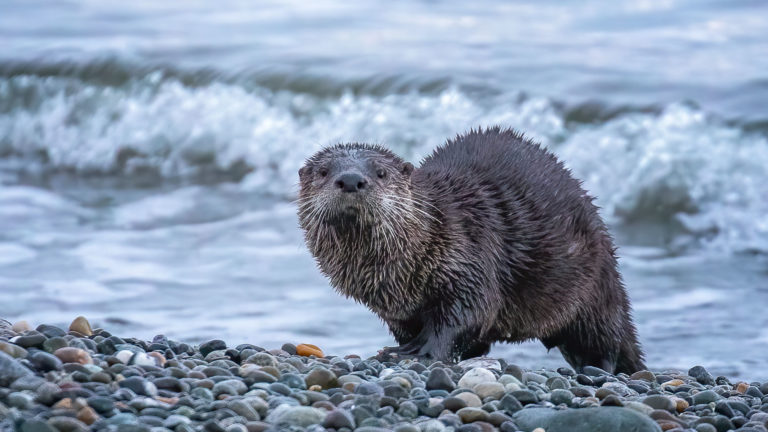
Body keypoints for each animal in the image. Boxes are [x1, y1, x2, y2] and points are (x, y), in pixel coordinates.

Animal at [297, 127, 645, 374]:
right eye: (323, 172)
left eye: (381, 173)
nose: (351, 179)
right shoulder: (395, 309)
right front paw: (403, 349)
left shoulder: (470, 260)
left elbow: (468, 313)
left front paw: (421, 352)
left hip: (595, 291)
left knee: (606, 342)